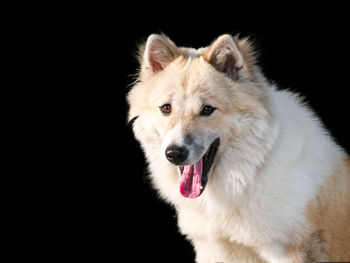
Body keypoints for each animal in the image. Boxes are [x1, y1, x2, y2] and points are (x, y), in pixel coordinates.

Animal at [126, 34, 350, 262]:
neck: (249, 174)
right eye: (166, 108)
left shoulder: (290, 252)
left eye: (207, 109)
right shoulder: (214, 250)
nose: (174, 154)